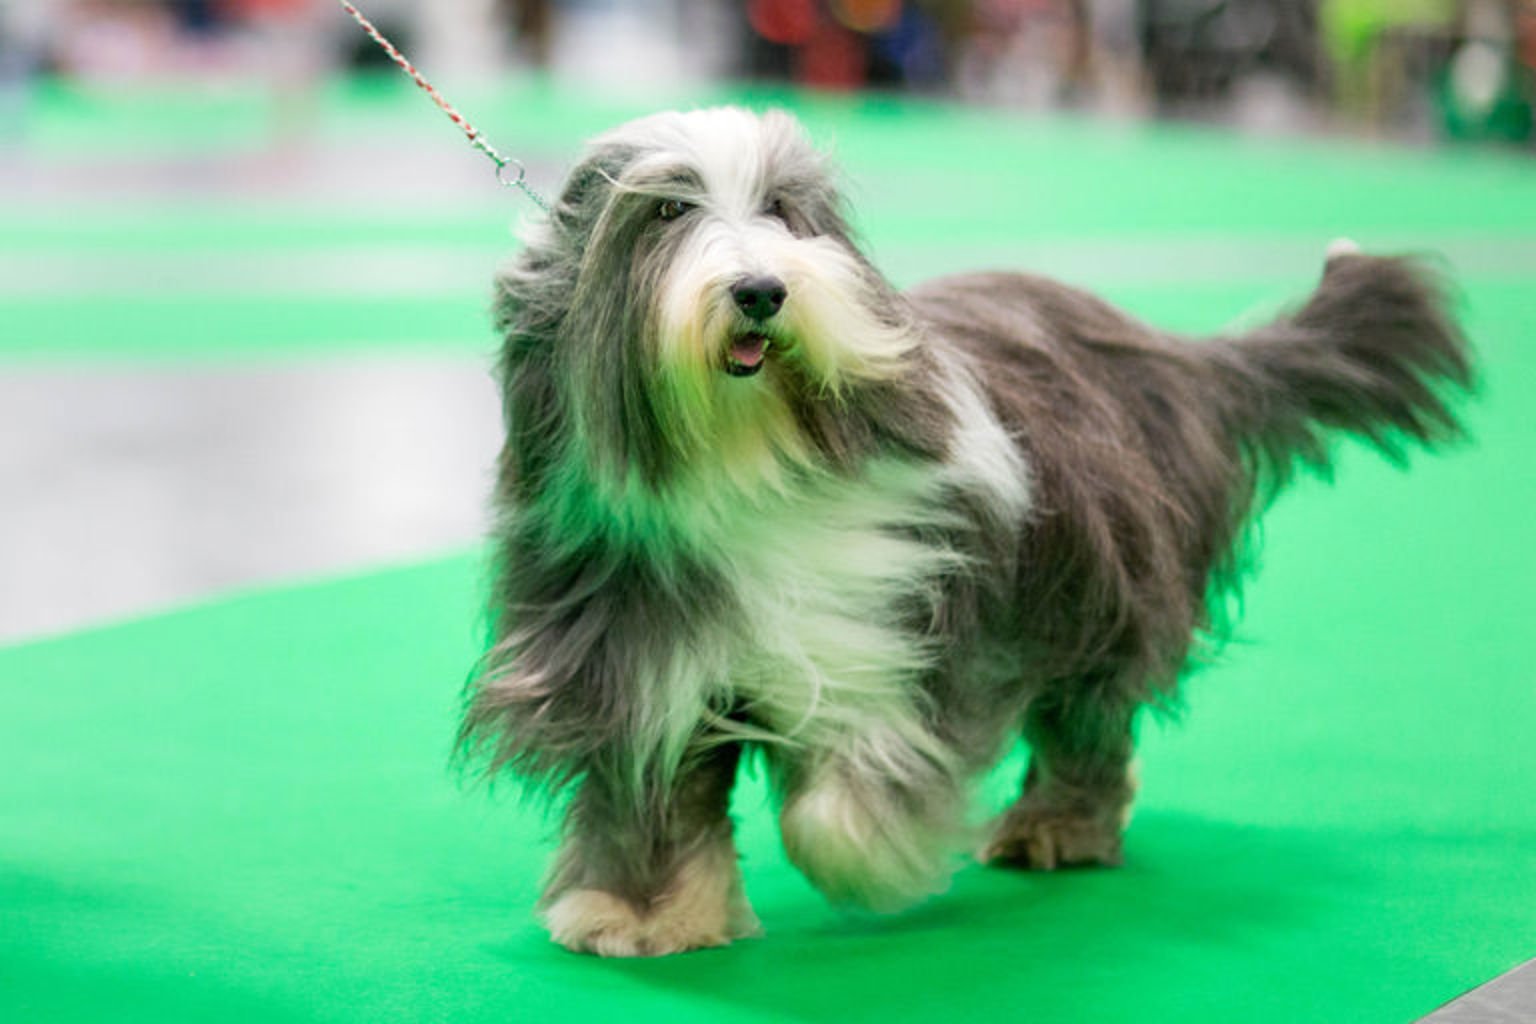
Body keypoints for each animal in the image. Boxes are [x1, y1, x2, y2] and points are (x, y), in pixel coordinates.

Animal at [457, 108, 1474, 957]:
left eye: (782, 211)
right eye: (667, 210)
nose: (760, 290)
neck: (746, 467)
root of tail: (1182, 356)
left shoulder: (916, 619)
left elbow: (854, 785)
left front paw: (873, 851)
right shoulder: (632, 652)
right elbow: (657, 795)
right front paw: (638, 917)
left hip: (1098, 587)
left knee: (1088, 723)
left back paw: (1056, 830)